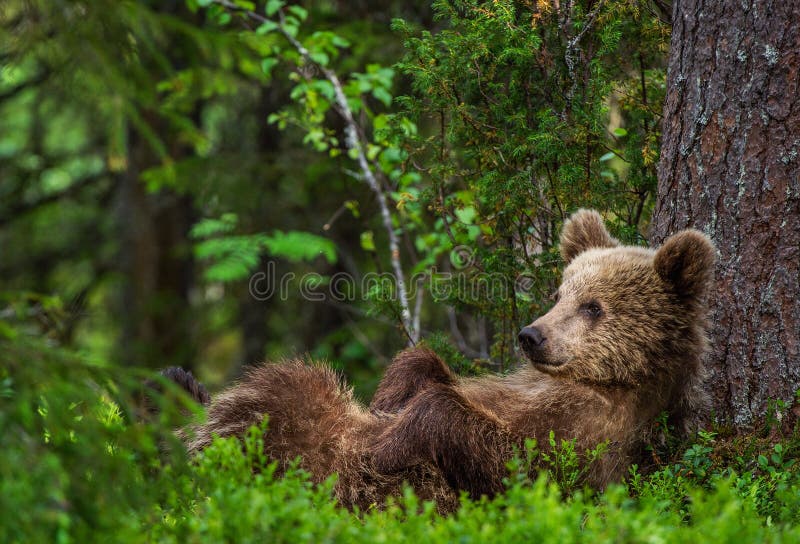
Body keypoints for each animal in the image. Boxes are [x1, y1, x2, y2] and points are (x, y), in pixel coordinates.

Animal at [175, 208, 712, 510]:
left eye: (593, 307)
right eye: (559, 293)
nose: (531, 335)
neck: (608, 381)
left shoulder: (591, 436)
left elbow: (515, 463)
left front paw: (393, 439)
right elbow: (421, 365)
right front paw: (392, 400)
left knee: (285, 401)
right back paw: (183, 387)